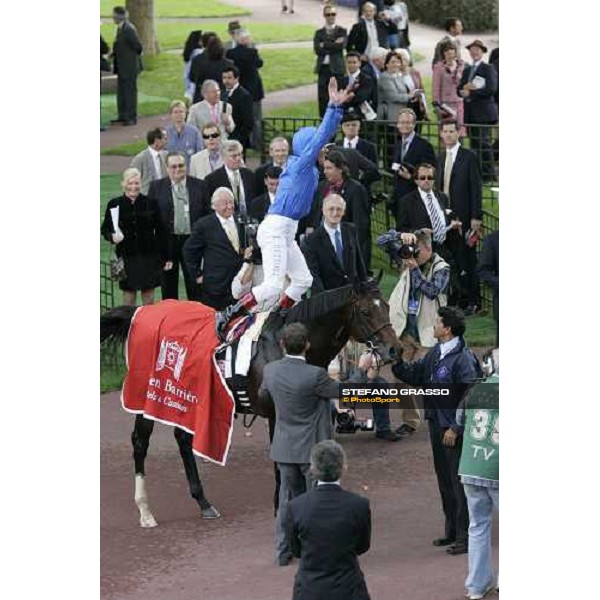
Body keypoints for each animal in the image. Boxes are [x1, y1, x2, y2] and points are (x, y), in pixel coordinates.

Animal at [99, 280, 398, 524]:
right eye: (366, 312)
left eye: (386, 306)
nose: (394, 349)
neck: (285, 347)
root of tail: (143, 310)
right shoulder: (277, 413)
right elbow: (282, 461)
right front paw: (281, 506)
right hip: (148, 396)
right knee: (140, 442)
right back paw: (145, 510)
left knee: (182, 439)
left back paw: (203, 502)